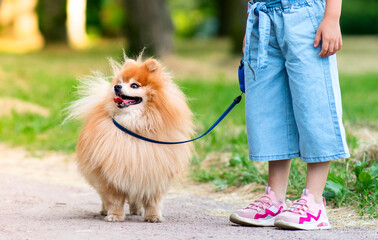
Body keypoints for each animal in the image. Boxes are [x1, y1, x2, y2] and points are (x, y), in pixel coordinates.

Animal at [65, 55, 193, 222]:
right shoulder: (111, 175)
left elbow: (153, 201)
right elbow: (114, 200)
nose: (117, 87)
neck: (134, 126)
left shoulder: (155, 173)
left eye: (134, 85)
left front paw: (153, 216)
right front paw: (115, 215)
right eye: (119, 82)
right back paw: (105, 211)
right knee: (104, 197)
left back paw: (136, 210)